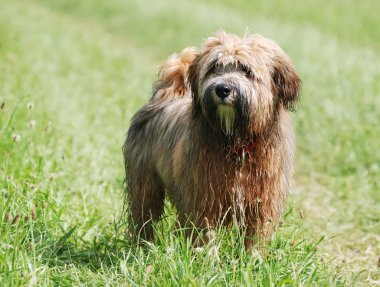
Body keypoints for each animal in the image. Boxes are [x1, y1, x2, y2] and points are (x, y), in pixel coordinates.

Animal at [123, 30, 302, 249]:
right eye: (214, 67)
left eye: (246, 70)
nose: (222, 89)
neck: (236, 144)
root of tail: (165, 96)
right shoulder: (203, 196)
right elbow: (204, 232)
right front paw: (204, 255)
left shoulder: (263, 201)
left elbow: (255, 236)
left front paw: (251, 257)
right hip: (144, 179)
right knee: (143, 214)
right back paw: (143, 247)